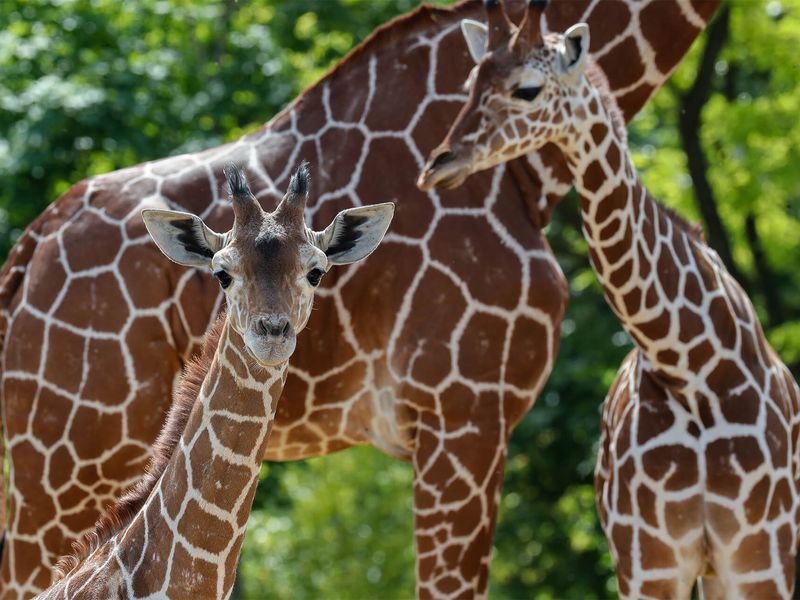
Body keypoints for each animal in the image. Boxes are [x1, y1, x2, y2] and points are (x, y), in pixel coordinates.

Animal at [418, 2, 800, 596]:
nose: (438, 164)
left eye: (527, 89)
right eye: (469, 82)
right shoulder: (647, 561)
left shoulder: (761, 556)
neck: (691, 369)